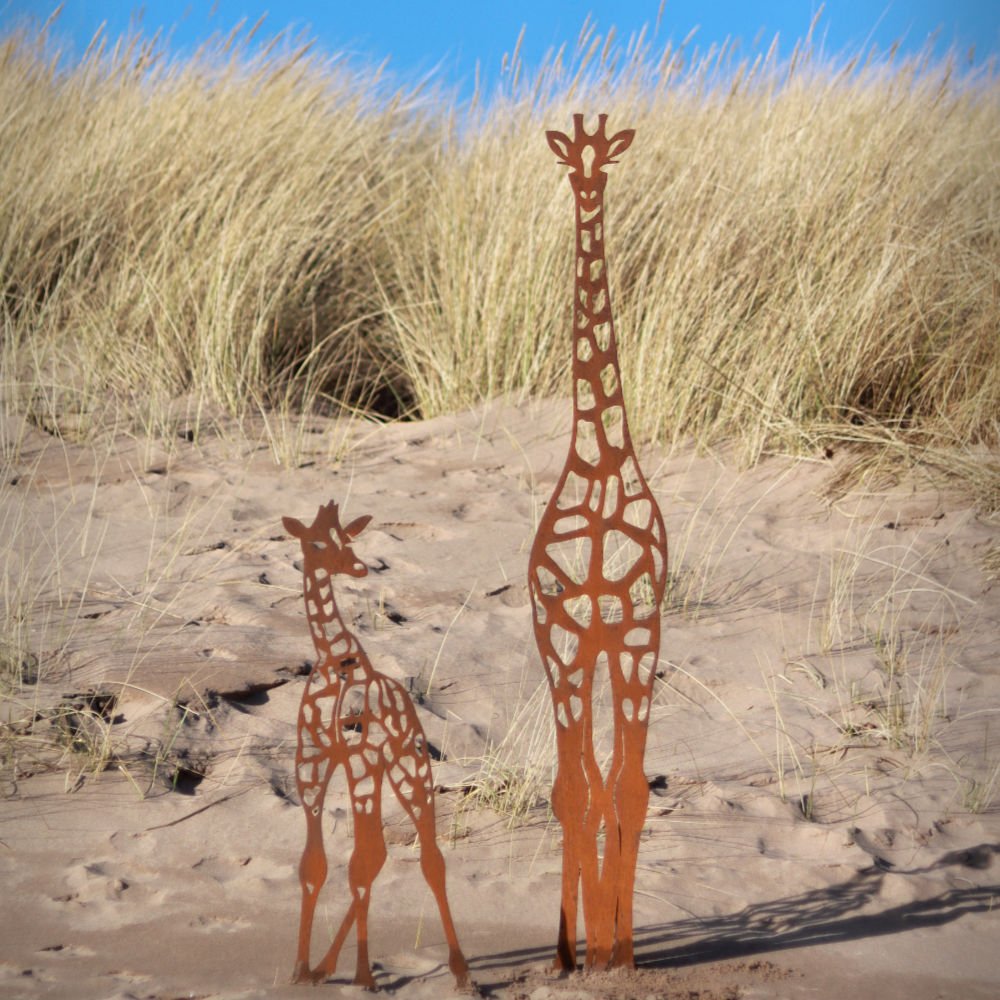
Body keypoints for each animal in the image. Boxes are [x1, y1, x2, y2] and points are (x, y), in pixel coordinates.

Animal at [283, 501, 470, 991]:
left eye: (346, 539)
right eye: (315, 542)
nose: (358, 567)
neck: (336, 660)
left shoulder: (360, 761)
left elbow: (358, 864)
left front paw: (365, 975)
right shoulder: (311, 764)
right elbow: (313, 865)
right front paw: (300, 970)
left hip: (409, 768)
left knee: (429, 857)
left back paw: (461, 972)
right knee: (382, 854)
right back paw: (326, 967)